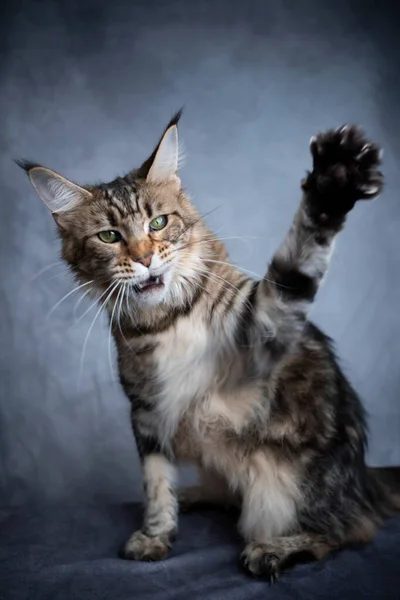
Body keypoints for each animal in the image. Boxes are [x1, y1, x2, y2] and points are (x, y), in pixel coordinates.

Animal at [19, 112, 400, 580]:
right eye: (109, 236)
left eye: (158, 223)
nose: (145, 258)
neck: (164, 322)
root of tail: (365, 480)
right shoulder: (147, 410)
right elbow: (156, 482)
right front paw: (157, 534)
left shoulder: (263, 330)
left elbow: (296, 265)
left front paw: (334, 181)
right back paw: (194, 496)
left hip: (285, 485)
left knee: (350, 530)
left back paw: (275, 548)